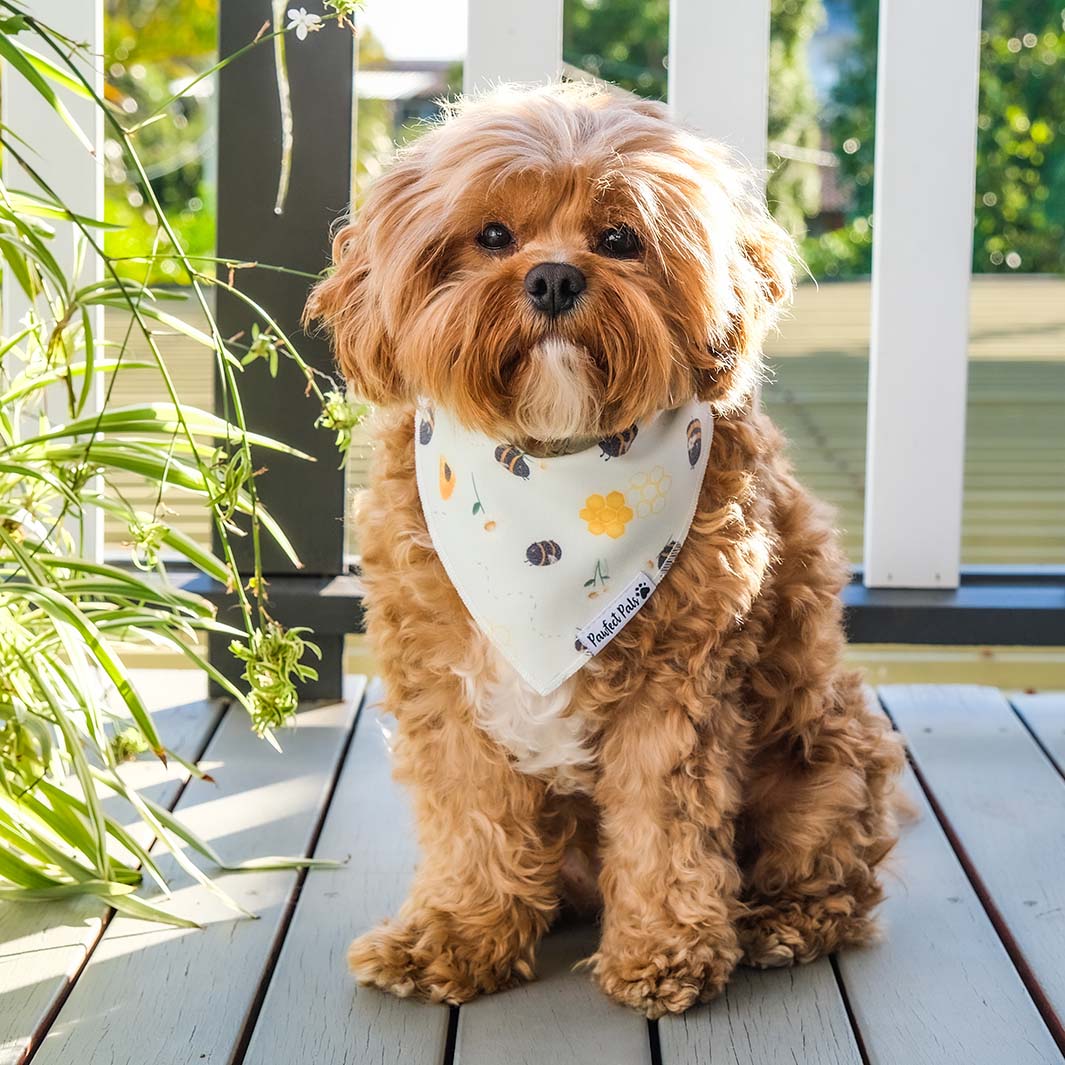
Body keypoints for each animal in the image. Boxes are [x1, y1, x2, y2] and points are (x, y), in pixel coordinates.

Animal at [308, 83, 907, 1013]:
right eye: (492, 235)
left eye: (620, 238)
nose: (554, 277)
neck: (550, 478)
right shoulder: (446, 685)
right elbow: (472, 817)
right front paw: (454, 935)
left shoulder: (679, 689)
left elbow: (663, 824)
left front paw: (664, 951)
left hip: (827, 761)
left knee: (838, 880)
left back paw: (778, 923)